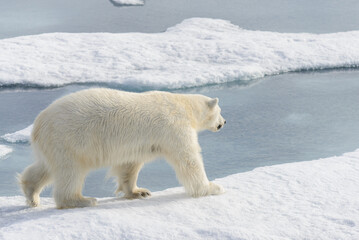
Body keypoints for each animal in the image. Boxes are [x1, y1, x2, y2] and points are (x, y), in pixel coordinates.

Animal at [19, 88, 225, 208]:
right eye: (220, 111)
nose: (224, 122)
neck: (184, 105)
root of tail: (38, 124)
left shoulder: (137, 144)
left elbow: (129, 165)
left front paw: (139, 191)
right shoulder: (174, 127)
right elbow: (188, 160)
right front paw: (212, 187)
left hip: (54, 145)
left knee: (45, 168)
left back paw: (31, 194)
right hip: (69, 139)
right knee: (71, 172)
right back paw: (82, 200)